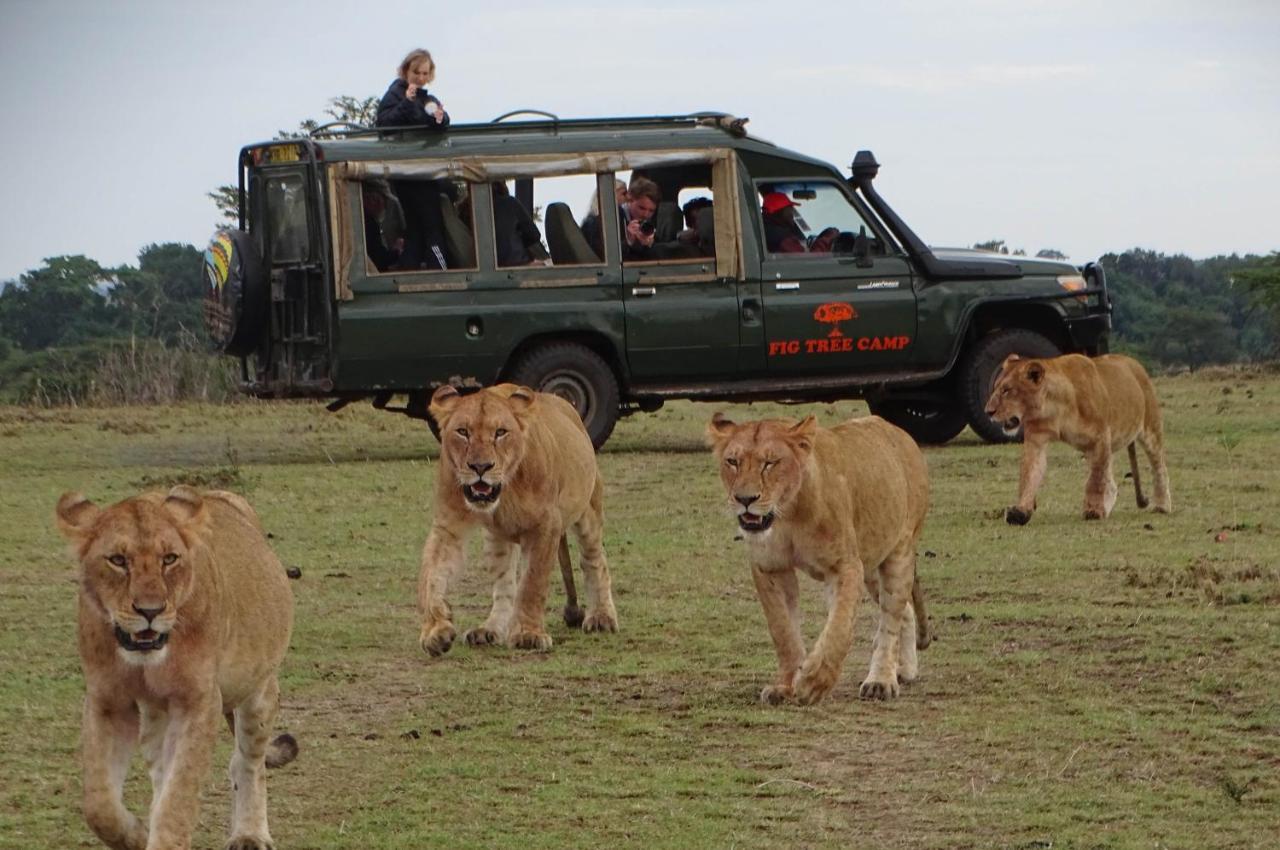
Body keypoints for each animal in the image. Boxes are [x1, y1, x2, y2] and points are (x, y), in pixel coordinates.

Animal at [56, 483, 295, 850]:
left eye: (169, 559)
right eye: (117, 561)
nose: (150, 611)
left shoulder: (198, 701)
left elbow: (179, 796)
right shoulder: (107, 700)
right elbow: (99, 805)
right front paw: (138, 835)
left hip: (259, 690)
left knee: (247, 762)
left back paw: (250, 834)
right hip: (158, 714)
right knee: (160, 774)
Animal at [419, 384, 619, 655]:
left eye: (500, 432)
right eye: (463, 432)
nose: (480, 466)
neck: (505, 489)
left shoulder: (546, 526)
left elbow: (532, 583)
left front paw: (528, 634)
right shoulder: (448, 526)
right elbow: (430, 576)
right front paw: (435, 630)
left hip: (588, 508)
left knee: (594, 561)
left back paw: (601, 616)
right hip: (496, 538)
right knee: (504, 586)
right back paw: (489, 630)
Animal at [711, 412, 931, 701]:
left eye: (770, 463)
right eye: (732, 462)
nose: (744, 499)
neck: (787, 513)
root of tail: (901, 433)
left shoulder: (845, 566)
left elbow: (838, 627)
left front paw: (814, 681)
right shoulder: (770, 568)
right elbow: (783, 630)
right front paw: (785, 686)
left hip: (898, 554)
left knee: (890, 618)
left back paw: (881, 681)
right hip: (872, 565)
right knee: (905, 609)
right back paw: (904, 670)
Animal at [983, 350, 1172, 524]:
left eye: (1007, 390)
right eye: (996, 387)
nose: (988, 411)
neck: (1055, 407)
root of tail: (1134, 363)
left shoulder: (1100, 437)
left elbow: (1095, 480)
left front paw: (1093, 510)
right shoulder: (1036, 439)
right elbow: (1029, 474)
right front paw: (1020, 511)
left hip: (1150, 429)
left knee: (1159, 467)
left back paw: (1162, 506)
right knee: (1110, 480)